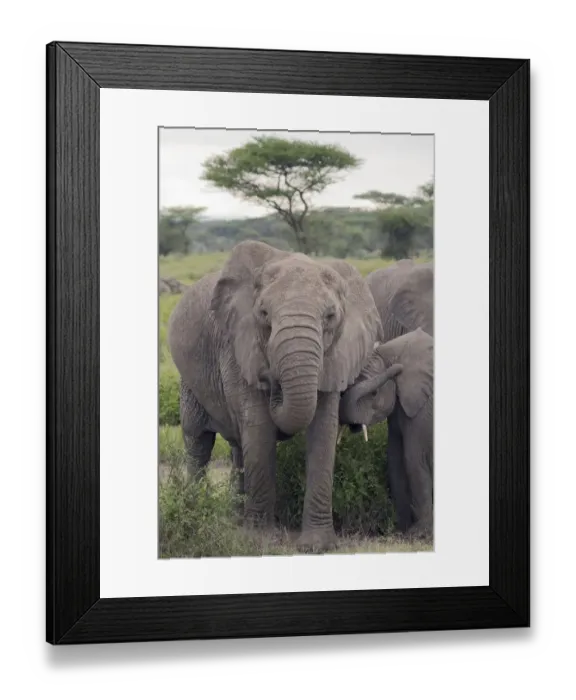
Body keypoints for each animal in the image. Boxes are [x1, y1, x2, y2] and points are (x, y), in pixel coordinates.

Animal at [167, 240, 382, 552]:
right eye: (264, 315)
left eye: (330, 318)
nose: (270, 378)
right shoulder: (238, 348)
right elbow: (259, 431)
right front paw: (258, 541)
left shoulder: (336, 356)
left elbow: (323, 433)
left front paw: (317, 546)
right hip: (190, 382)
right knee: (198, 441)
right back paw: (196, 512)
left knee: (237, 447)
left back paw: (235, 519)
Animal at [339, 328, 434, 538]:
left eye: (374, 394)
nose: (397, 368)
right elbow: (395, 459)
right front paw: (401, 531)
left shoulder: (421, 409)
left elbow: (413, 458)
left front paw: (419, 534)